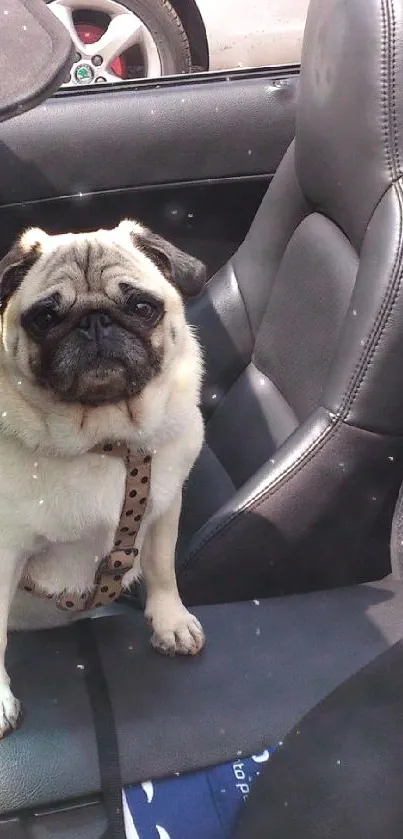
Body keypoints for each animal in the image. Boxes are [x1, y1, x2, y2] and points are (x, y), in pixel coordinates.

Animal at [0, 220, 207, 740]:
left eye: (141, 307)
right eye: (44, 318)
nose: (95, 322)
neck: (105, 438)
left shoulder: (165, 507)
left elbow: (162, 567)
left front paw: (171, 622)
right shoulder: (3, 550)